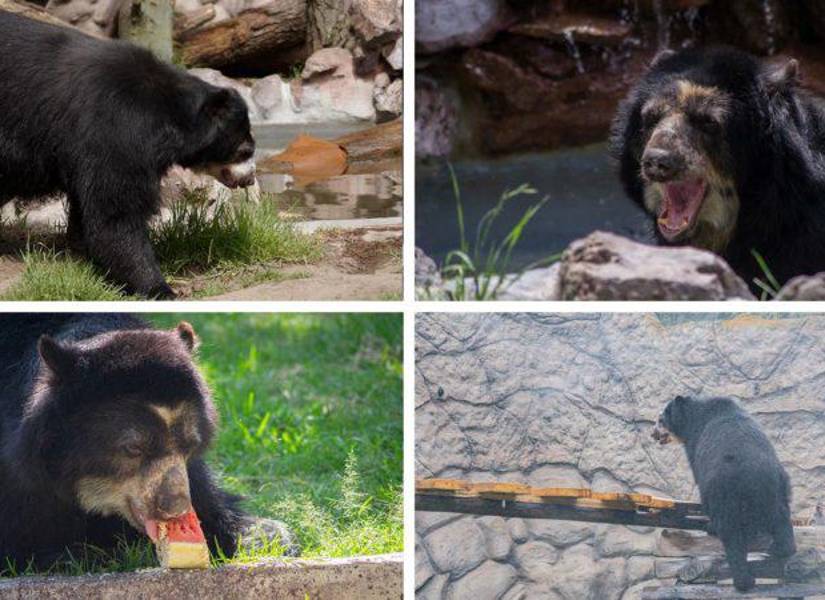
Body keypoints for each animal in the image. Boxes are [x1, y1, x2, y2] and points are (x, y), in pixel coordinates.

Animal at [0, 12, 257, 299]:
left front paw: (81, 253)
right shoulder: (116, 130)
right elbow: (117, 213)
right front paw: (159, 289)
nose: (249, 178)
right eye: (244, 151)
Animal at [0, 314, 294, 570]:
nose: (175, 509)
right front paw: (94, 552)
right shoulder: (22, 472)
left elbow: (220, 511)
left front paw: (269, 539)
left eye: (190, 444)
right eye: (133, 448)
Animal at [652, 396, 796, 591]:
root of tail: (752, 475)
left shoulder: (697, 442)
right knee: (781, 516)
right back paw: (779, 549)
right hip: (778, 484)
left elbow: (696, 470)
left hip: (723, 491)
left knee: (730, 532)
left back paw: (742, 580)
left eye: (661, 420)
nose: (653, 434)